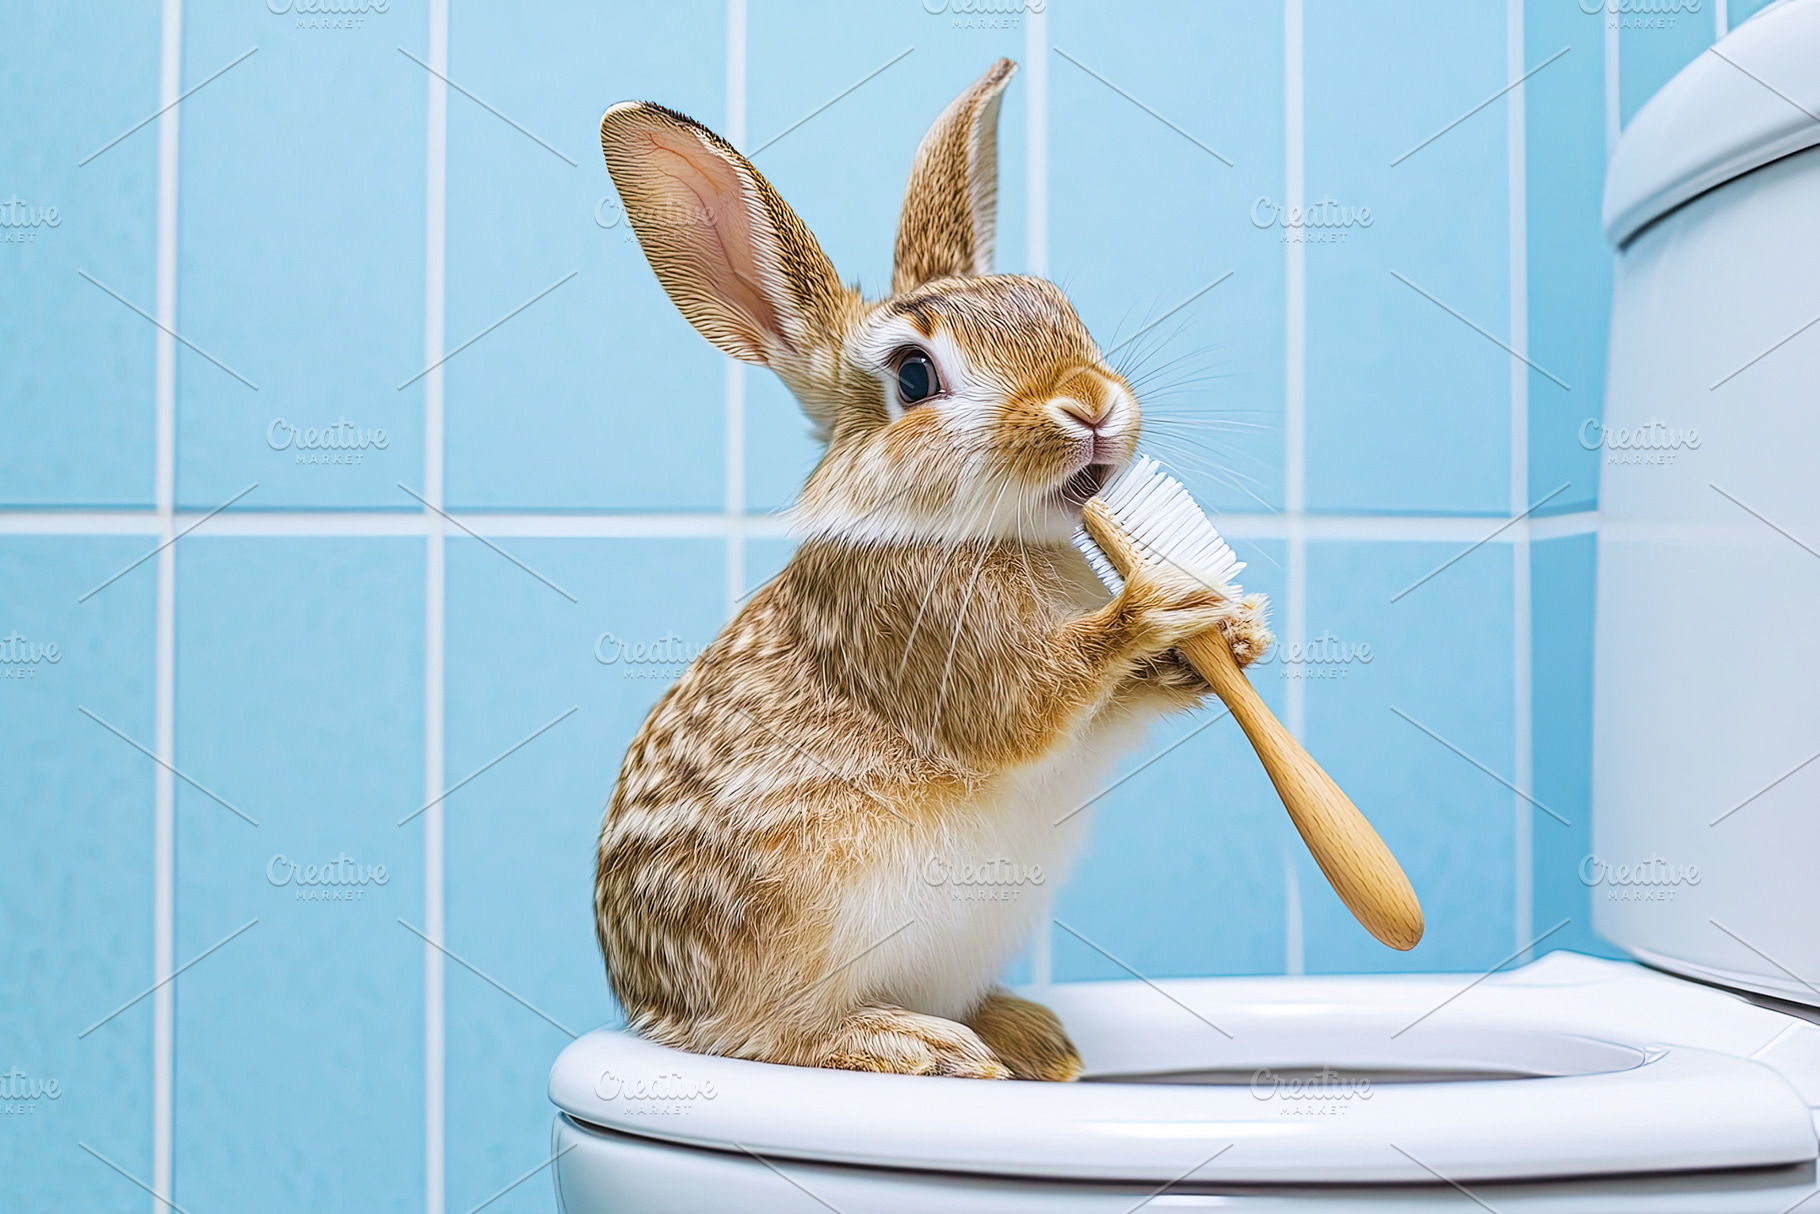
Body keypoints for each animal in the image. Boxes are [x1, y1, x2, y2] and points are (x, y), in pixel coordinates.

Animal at [594, 57, 1271, 1081]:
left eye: (1057, 308)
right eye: (915, 377)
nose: (1090, 403)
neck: (976, 531)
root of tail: (648, 1007)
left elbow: (1113, 709)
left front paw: (1233, 630)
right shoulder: (931, 644)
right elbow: (1038, 698)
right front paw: (1156, 607)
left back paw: (1030, 1039)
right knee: (767, 1035)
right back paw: (922, 1047)